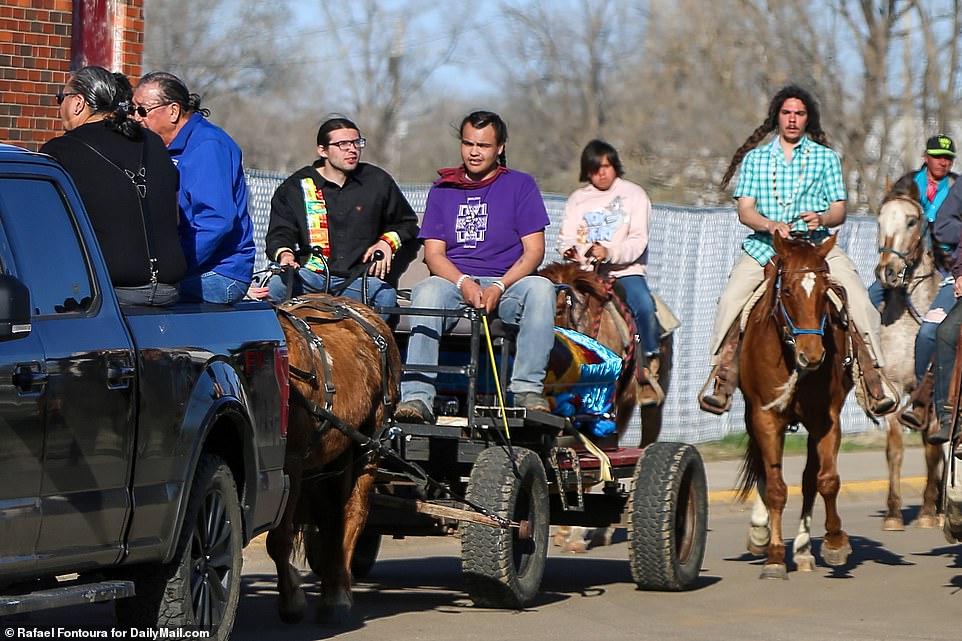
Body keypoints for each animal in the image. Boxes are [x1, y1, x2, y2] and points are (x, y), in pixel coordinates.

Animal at [262, 292, 398, 624]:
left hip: (369, 446)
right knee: (328, 520)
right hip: (324, 461)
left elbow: (279, 539)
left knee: (352, 515)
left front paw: (291, 600)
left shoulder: (291, 464)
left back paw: (338, 597)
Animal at [740, 232, 852, 576]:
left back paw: (803, 550)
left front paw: (834, 542)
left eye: (824, 291)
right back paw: (761, 533)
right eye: (787, 290)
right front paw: (775, 556)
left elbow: (826, 480)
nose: (812, 354)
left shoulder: (826, 419)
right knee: (764, 470)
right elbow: (775, 487)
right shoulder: (764, 417)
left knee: (809, 478)